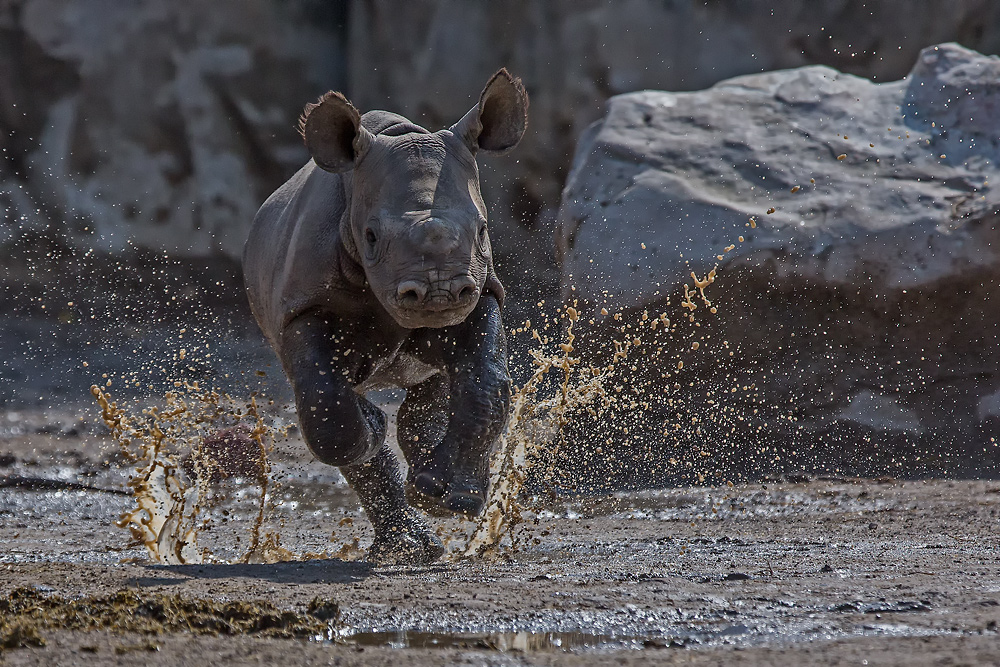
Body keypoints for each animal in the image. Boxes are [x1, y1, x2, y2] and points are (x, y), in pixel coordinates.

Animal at [243, 72, 528, 564]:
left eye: (483, 230)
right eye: (372, 236)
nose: (439, 292)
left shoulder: (482, 290)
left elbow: (488, 379)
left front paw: (454, 501)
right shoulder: (303, 306)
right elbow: (325, 403)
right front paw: (372, 427)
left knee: (430, 384)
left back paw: (429, 502)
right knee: (332, 396)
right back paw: (410, 538)